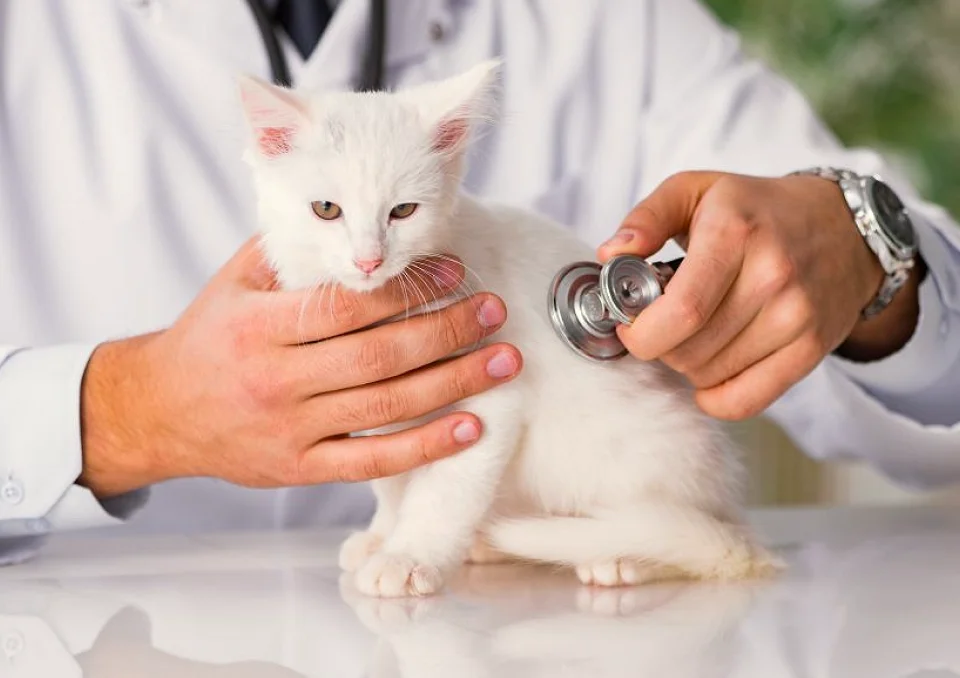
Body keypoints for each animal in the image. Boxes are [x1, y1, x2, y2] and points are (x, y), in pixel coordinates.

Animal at [238, 61, 780, 596]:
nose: (368, 260)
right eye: (326, 210)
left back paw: (624, 557)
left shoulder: (494, 389)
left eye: (403, 211)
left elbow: (445, 490)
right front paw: (382, 534)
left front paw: (408, 557)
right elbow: (391, 477)